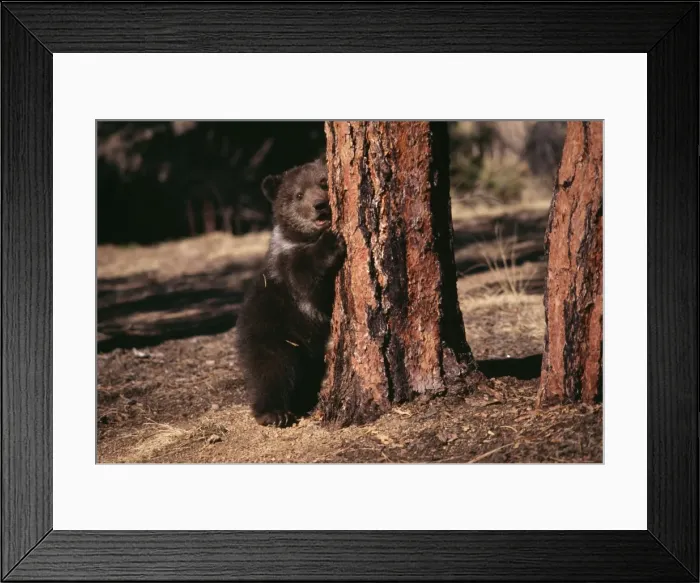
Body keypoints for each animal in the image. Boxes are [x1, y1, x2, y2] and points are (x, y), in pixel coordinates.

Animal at [235, 158, 346, 427]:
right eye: (298, 194)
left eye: (323, 181)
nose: (319, 205)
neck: (302, 238)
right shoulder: (287, 270)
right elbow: (305, 277)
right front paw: (331, 243)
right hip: (272, 334)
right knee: (270, 372)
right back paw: (274, 413)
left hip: (310, 351)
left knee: (307, 375)